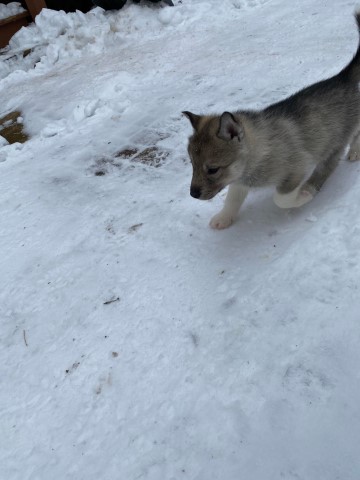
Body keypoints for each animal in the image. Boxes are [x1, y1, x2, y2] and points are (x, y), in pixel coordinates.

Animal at [184, 11, 360, 229]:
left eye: (213, 169)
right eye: (192, 163)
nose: (193, 194)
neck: (257, 151)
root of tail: (342, 77)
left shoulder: (297, 168)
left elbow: (281, 198)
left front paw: (306, 194)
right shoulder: (240, 180)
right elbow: (232, 198)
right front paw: (223, 217)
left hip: (343, 133)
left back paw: (354, 151)